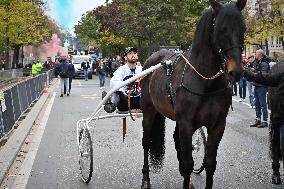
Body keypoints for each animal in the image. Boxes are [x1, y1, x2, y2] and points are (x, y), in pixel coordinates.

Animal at [140, 0, 246, 188]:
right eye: (221, 29)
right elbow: (189, 163)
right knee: (146, 142)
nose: (237, 71)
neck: (207, 82)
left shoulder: (217, 125)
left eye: (244, 28)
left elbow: (209, 163)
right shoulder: (186, 123)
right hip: (149, 111)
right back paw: (146, 178)